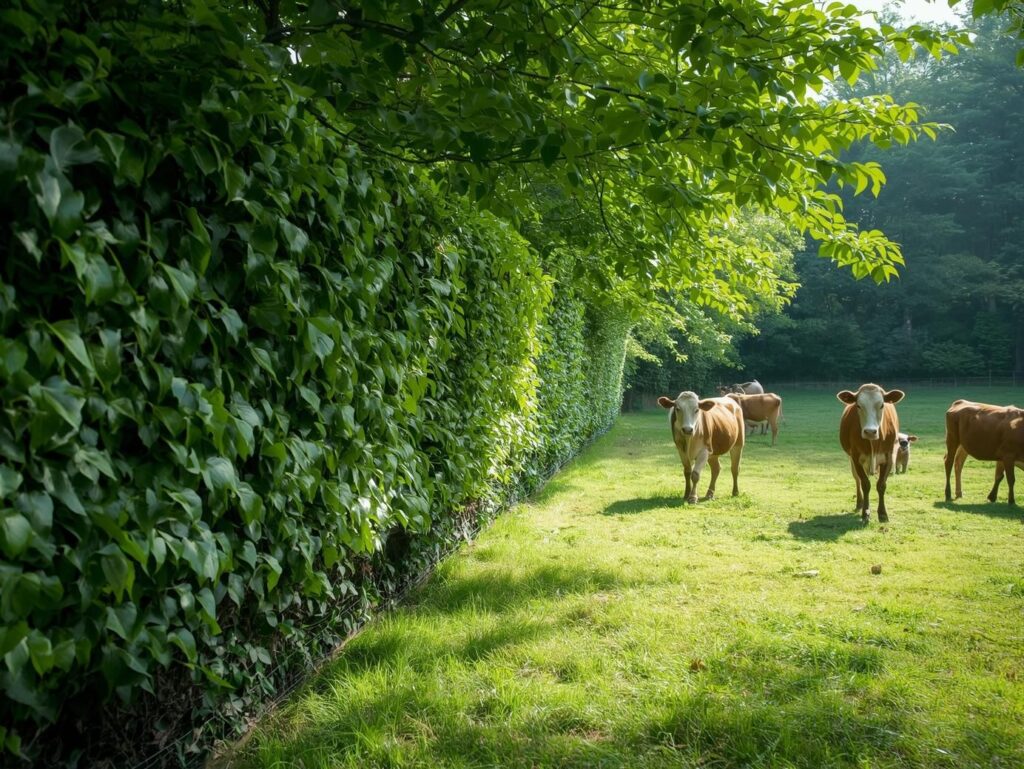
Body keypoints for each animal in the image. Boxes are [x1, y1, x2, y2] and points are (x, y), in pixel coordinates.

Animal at [837, 383, 905, 523]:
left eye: (882, 405)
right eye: (858, 405)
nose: (870, 431)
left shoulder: (888, 457)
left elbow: (881, 485)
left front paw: (883, 513)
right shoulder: (856, 458)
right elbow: (865, 484)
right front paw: (865, 512)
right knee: (857, 479)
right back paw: (860, 503)